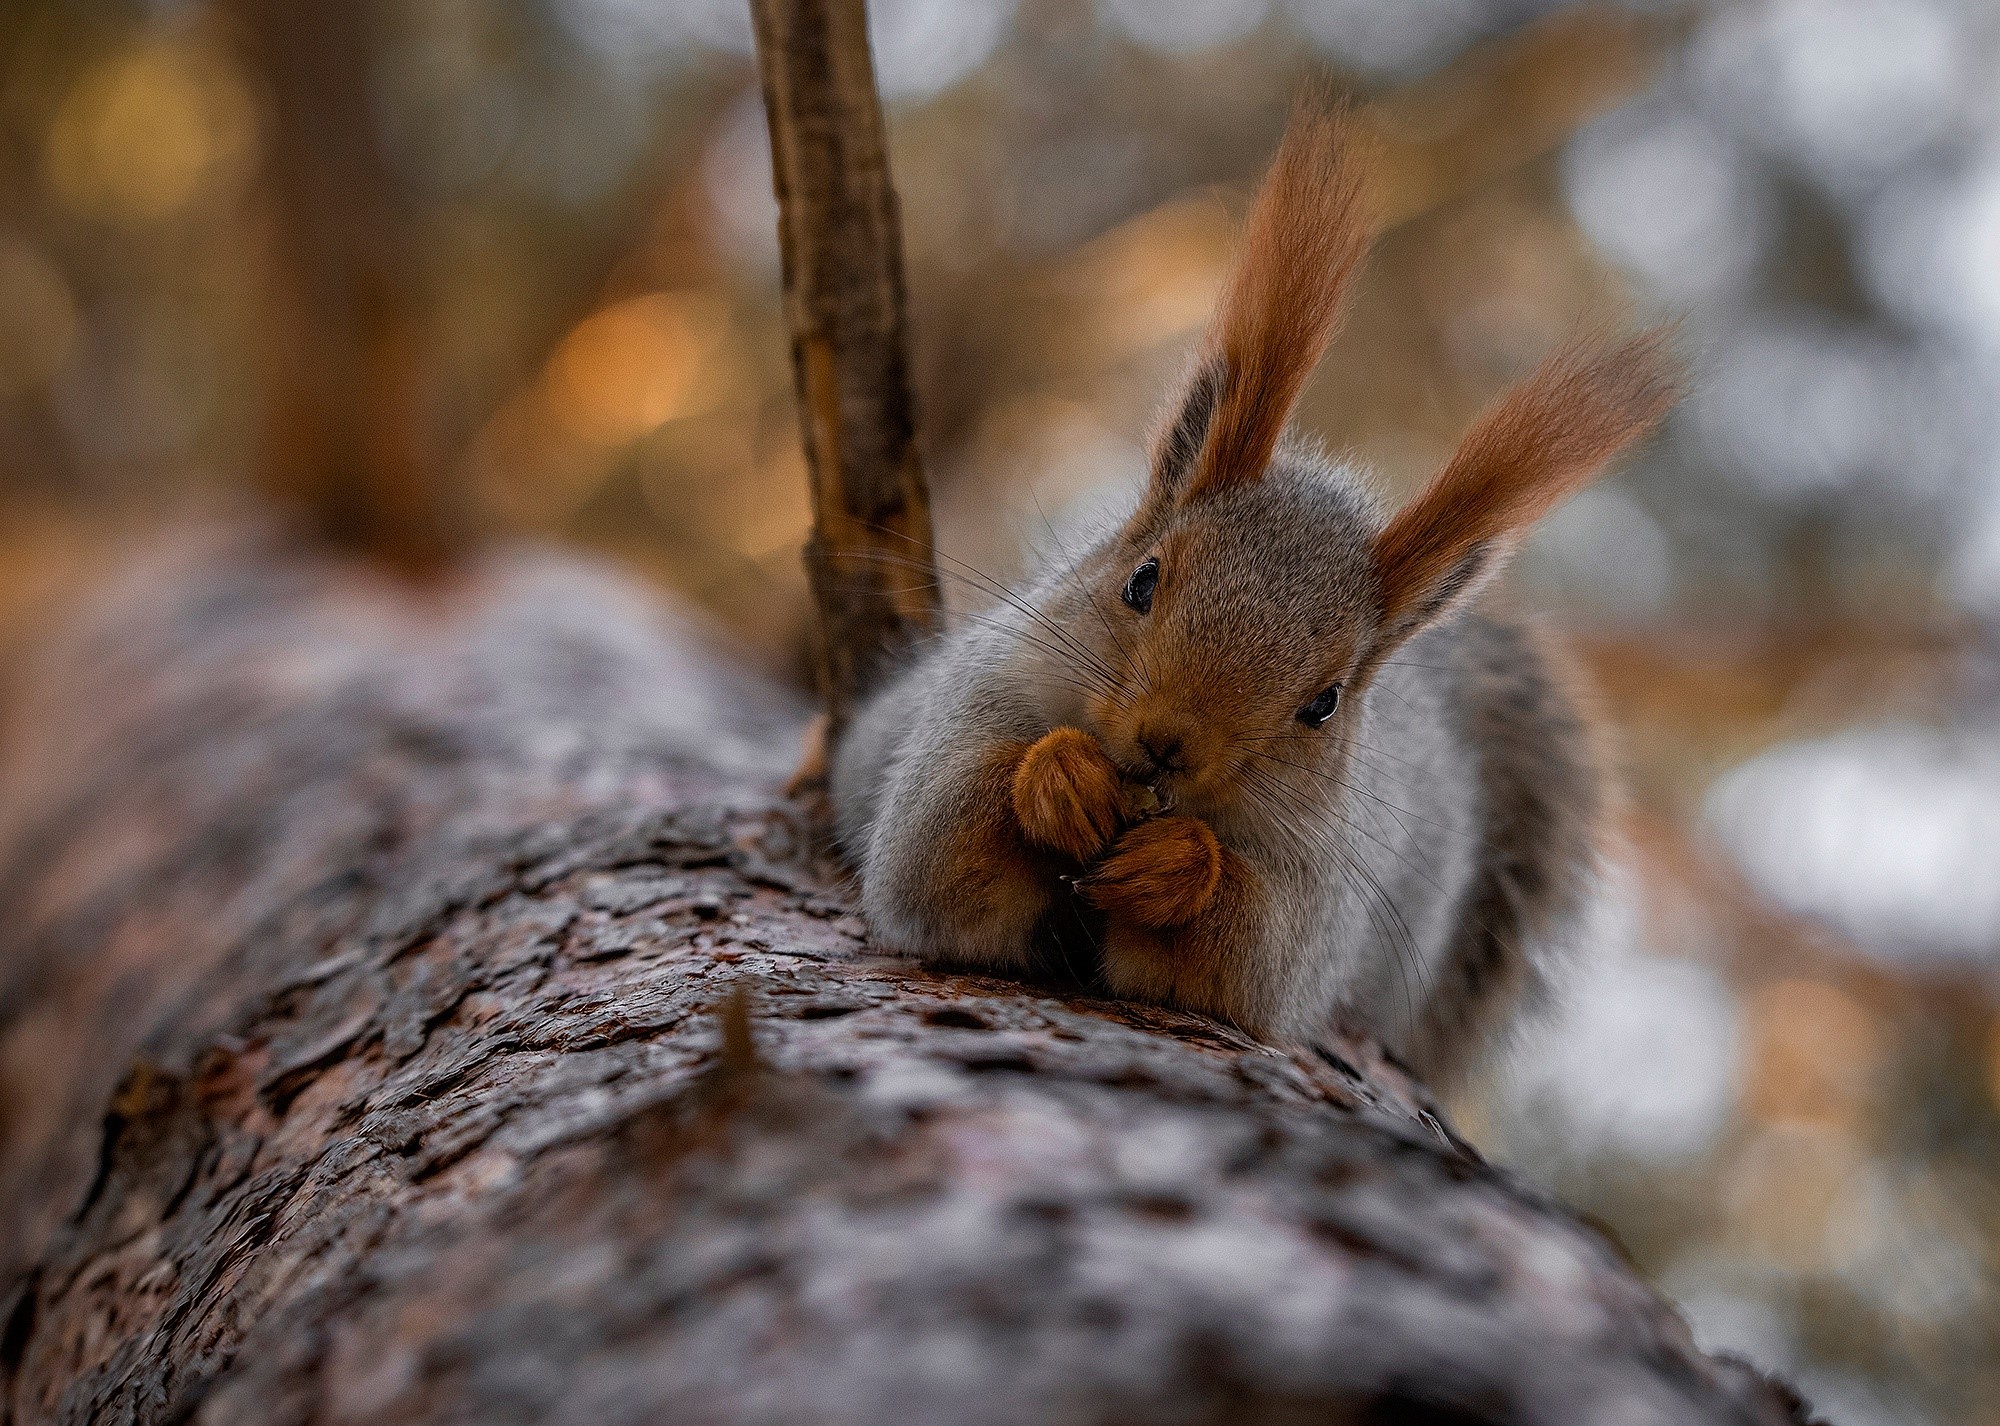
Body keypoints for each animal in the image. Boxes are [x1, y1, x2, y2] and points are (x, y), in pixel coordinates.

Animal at [829, 102, 1677, 1089]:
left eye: (1325, 704)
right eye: (1142, 579)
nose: (1167, 745)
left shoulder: (1318, 888)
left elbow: (1247, 959)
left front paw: (1177, 866)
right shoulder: (974, 706)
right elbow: (936, 848)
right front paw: (1061, 779)